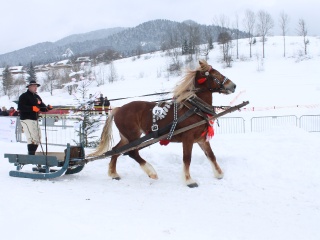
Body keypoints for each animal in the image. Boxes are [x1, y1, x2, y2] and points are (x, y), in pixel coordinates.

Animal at [89, 59, 236, 188]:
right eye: (215, 74)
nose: (233, 85)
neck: (194, 108)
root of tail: (118, 109)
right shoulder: (187, 138)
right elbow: (187, 159)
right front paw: (189, 181)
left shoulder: (201, 139)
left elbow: (211, 155)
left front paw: (219, 174)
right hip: (133, 136)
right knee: (132, 153)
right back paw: (151, 172)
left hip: (127, 137)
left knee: (116, 151)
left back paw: (113, 173)